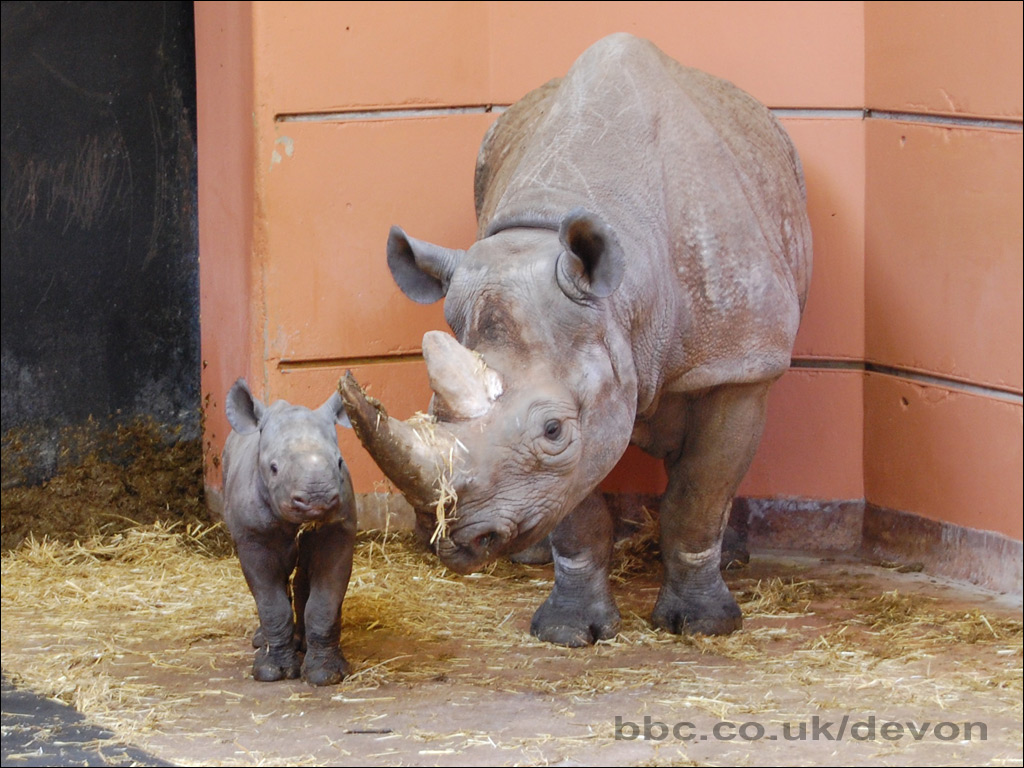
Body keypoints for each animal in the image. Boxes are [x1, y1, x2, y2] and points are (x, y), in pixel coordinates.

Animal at [222, 379, 356, 684]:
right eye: (273, 468)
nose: (318, 498)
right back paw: (264, 643)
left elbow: (325, 601)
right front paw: (272, 672)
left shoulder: (338, 530)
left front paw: (326, 674)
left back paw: (302, 643)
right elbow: (270, 601)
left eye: (340, 462)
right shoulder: (253, 536)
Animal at [340, 33, 810, 645]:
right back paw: (531, 559)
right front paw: (569, 631)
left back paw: (732, 560)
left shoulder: (735, 361)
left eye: (553, 430)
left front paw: (705, 625)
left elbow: (699, 495)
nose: (458, 539)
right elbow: (577, 512)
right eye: (433, 413)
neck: (628, 300)